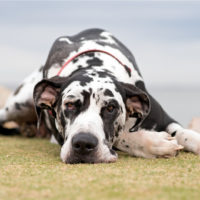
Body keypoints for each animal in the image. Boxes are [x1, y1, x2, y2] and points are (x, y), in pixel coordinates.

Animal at [0, 28, 200, 163]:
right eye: (70, 105)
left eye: (111, 108)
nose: (83, 144)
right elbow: (123, 136)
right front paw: (154, 142)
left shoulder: (164, 118)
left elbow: (184, 133)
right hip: (16, 106)